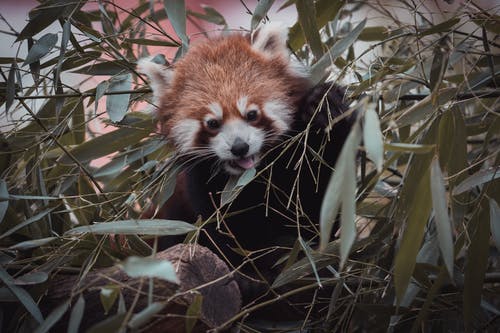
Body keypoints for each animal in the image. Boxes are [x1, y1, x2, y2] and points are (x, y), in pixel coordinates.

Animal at [139, 24, 354, 312]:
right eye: (212, 123)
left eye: (251, 114)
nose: (239, 147)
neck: (254, 178)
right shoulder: (202, 190)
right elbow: (225, 232)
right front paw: (250, 274)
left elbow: (321, 204)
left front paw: (324, 105)